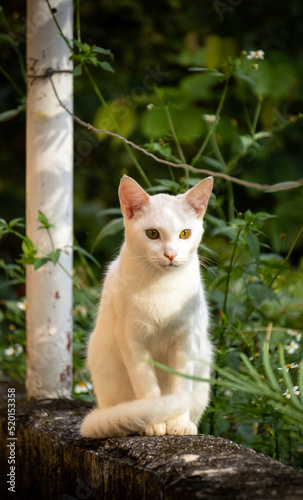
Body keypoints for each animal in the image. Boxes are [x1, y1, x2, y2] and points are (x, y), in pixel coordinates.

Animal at [81, 176, 214, 438]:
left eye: (185, 233)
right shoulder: (132, 342)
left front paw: (179, 423)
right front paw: (154, 423)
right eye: (152, 233)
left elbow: (181, 385)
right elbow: (147, 387)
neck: (161, 286)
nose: (171, 254)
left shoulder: (187, 340)